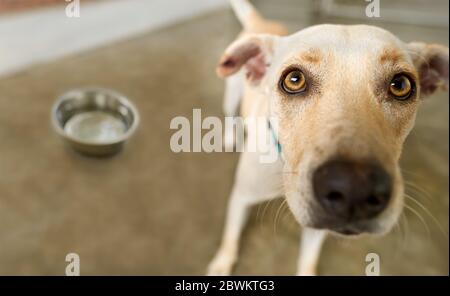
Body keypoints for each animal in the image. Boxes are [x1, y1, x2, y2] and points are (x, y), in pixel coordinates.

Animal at [208, 1, 450, 276]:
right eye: (294, 79)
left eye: (400, 85)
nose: (354, 189)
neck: (285, 168)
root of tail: (262, 23)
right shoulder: (240, 198)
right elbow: (231, 236)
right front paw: (223, 262)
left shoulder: (318, 229)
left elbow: (308, 259)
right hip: (231, 95)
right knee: (230, 114)